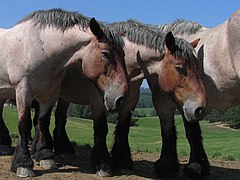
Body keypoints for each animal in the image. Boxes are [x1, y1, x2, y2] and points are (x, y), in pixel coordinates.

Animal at [0, 8, 129, 177]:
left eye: (123, 55)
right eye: (105, 53)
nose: (121, 98)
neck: (39, 48)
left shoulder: (50, 94)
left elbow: (43, 122)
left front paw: (45, 156)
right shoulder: (23, 91)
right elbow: (24, 124)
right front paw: (23, 164)